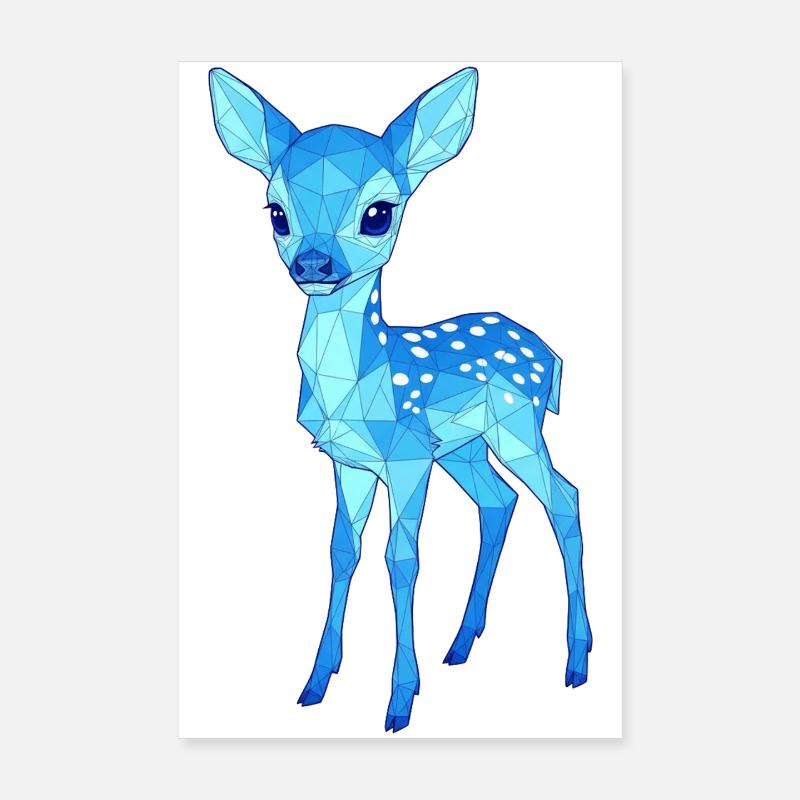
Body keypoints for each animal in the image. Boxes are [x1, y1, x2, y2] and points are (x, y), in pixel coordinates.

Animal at [208, 66, 592, 732]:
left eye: (379, 213)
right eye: (277, 211)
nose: (314, 262)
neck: (359, 382)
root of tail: (550, 355)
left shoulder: (407, 455)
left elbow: (402, 558)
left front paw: (399, 701)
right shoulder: (351, 463)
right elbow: (342, 550)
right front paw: (316, 682)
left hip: (517, 427)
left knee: (564, 498)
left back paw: (576, 660)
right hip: (463, 448)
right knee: (499, 503)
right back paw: (461, 645)